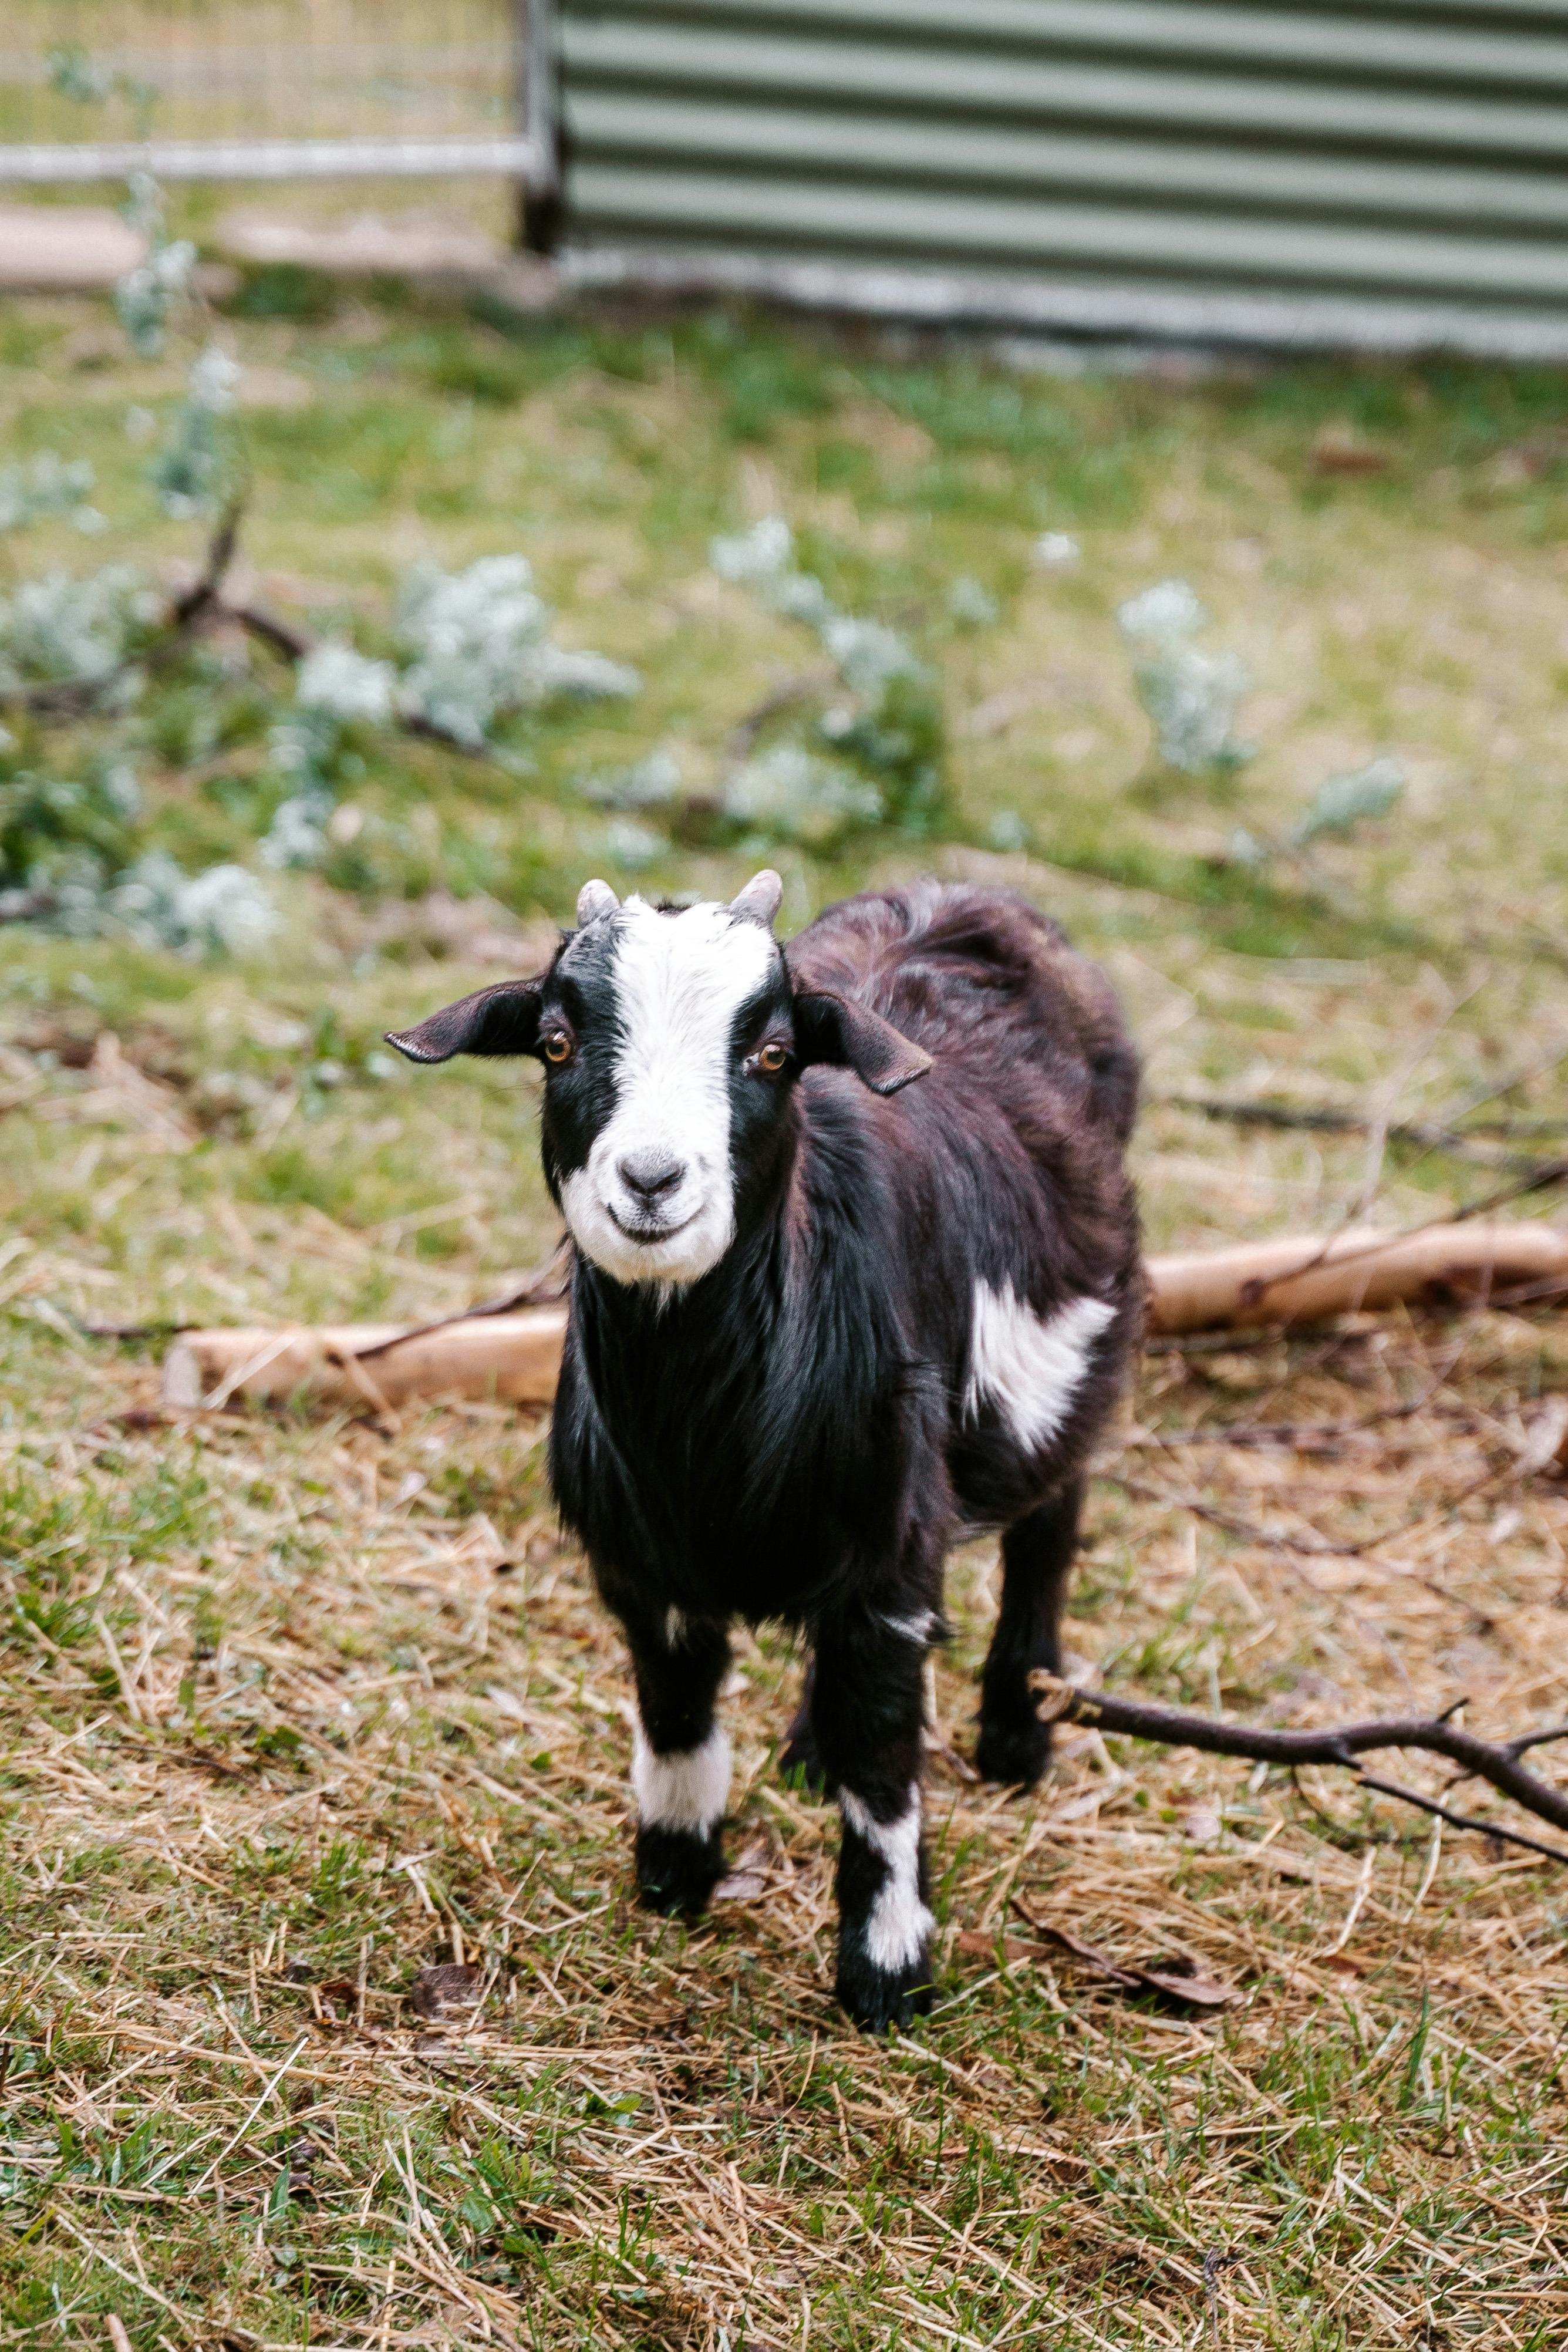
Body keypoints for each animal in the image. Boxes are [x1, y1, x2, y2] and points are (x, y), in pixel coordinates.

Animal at [388, 872, 1141, 2030]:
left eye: (774, 1054)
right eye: (556, 1043)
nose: (652, 1180)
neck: (704, 1423)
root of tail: (967, 894)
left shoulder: (890, 1555)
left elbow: (882, 1754)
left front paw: (887, 1970)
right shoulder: (644, 1558)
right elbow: (677, 1707)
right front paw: (674, 1875)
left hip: (1063, 1382)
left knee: (1048, 1528)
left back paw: (1016, 1733)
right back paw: (807, 1751)